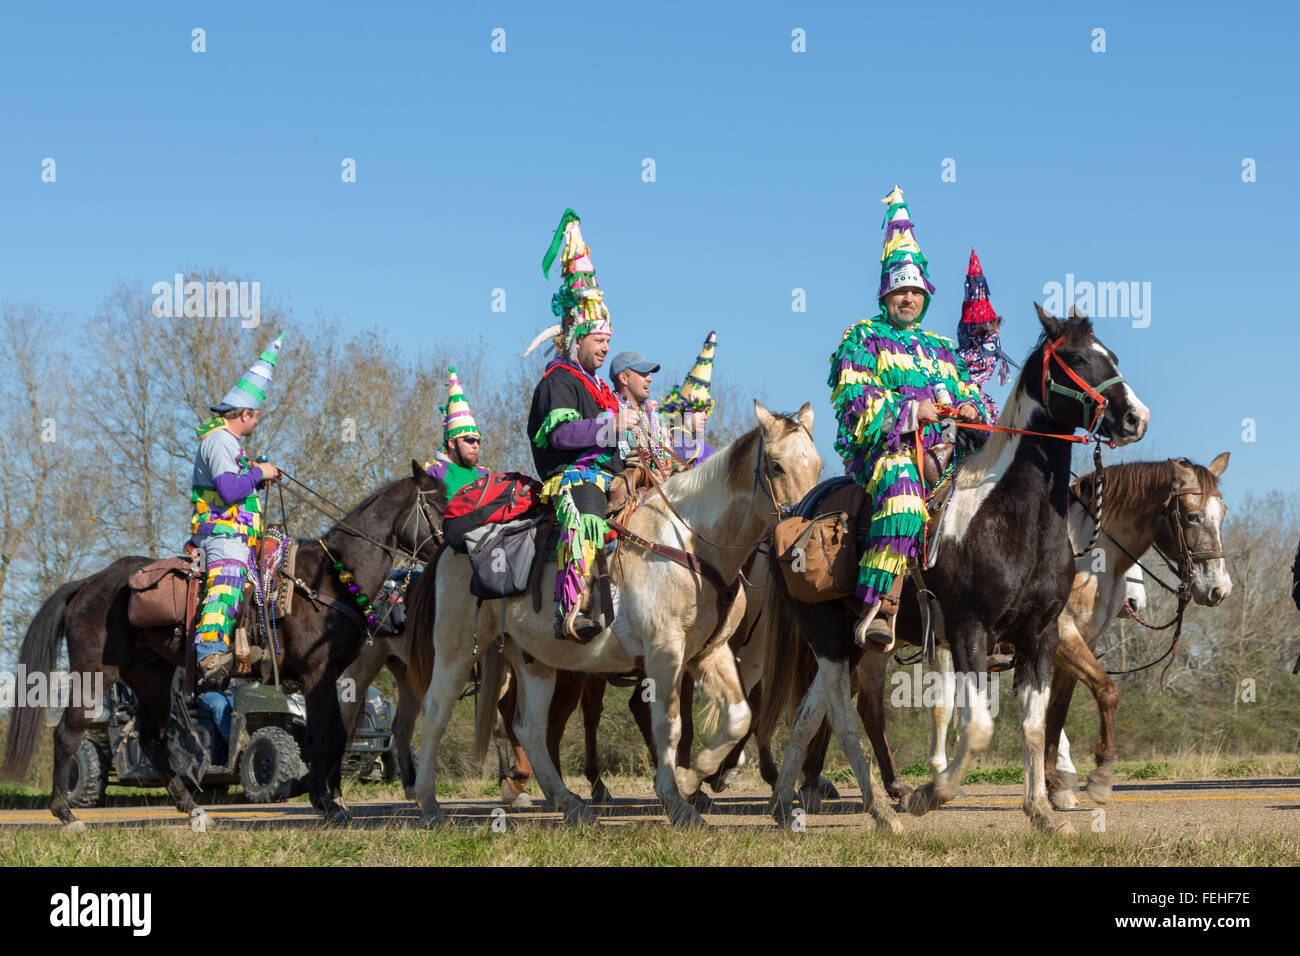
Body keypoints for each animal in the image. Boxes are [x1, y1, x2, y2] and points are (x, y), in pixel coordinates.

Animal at [2, 460, 444, 827]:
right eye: (440, 503)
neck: (332, 578)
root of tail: (88, 583)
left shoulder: (328, 677)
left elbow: (337, 735)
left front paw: (325, 797)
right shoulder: (317, 675)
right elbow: (324, 737)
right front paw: (325, 802)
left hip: (150, 676)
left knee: (154, 741)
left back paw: (194, 810)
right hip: (95, 671)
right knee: (69, 733)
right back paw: (67, 814)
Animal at [405, 400, 816, 827]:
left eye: (818, 465)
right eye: (776, 466)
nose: (802, 537)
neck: (688, 541)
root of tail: (448, 547)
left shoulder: (709, 652)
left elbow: (738, 717)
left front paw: (691, 780)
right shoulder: (664, 652)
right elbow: (668, 725)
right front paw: (675, 799)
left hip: (534, 659)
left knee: (530, 728)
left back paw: (570, 804)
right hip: (455, 649)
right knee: (435, 713)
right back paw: (429, 805)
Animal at [759, 304, 1149, 832]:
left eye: (1111, 356)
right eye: (1075, 358)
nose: (1135, 417)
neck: (1012, 517)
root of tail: (797, 511)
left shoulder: (1041, 635)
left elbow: (1033, 725)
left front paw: (1043, 812)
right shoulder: (969, 632)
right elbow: (979, 727)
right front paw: (931, 794)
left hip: (848, 641)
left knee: (807, 715)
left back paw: (785, 804)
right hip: (825, 634)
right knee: (841, 716)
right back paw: (883, 810)